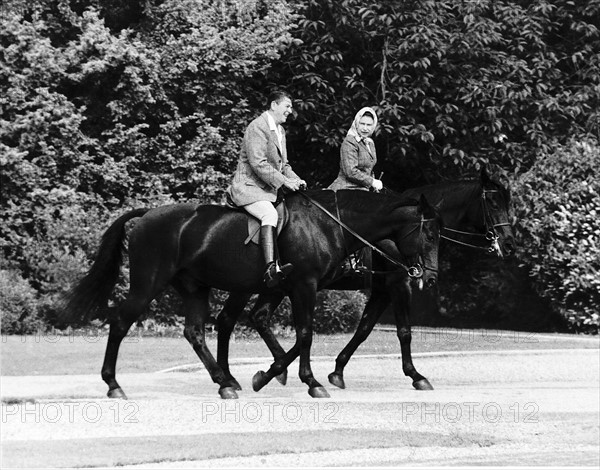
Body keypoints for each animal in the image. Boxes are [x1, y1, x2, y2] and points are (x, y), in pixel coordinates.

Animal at [61, 189, 442, 398]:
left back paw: (225, 381)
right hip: (148, 284)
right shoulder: (307, 286)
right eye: (429, 234)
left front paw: (270, 374)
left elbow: (312, 336)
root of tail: (148, 215)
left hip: (200, 288)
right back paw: (113, 384)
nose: (431, 276)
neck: (329, 224)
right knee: (121, 322)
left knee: (199, 330)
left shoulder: (284, 288)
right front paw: (312, 381)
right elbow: (308, 334)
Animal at [213, 169, 512, 392]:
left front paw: (336, 371)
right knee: (229, 320)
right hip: (250, 287)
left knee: (258, 317)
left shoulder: (381, 292)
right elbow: (404, 331)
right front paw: (416, 375)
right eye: (493, 203)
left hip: (274, 288)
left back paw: (267, 371)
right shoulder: (398, 287)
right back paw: (235, 377)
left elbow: (363, 329)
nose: (508, 243)